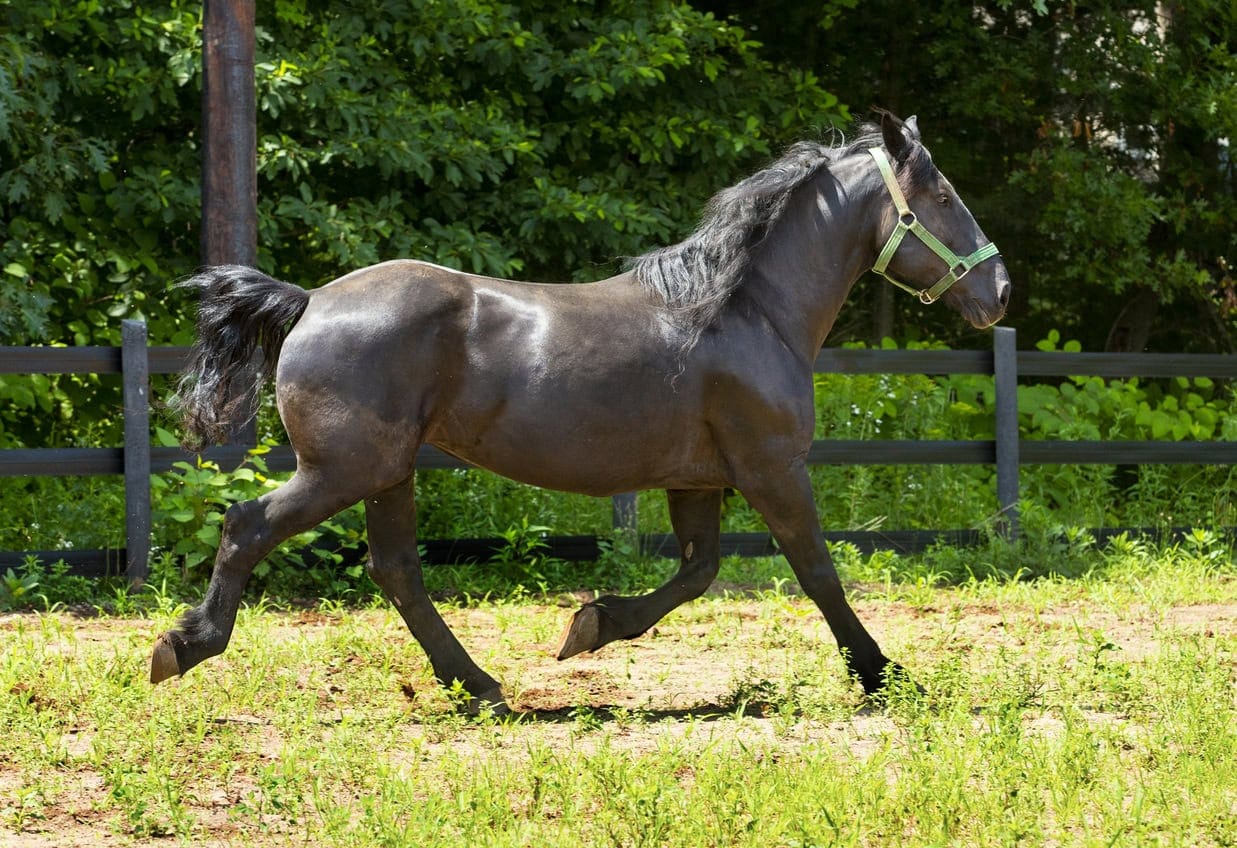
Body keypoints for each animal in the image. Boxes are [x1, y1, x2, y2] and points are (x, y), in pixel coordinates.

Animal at [151, 112, 1009, 714]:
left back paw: (479, 686)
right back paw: (184, 646)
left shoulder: (698, 480)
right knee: (249, 526)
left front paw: (589, 626)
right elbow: (817, 571)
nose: (998, 292)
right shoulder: (772, 468)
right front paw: (881, 673)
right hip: (345, 468)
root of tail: (309, 301)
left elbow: (698, 571)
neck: (745, 312)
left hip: (385, 473)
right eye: (941, 196)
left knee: (395, 570)